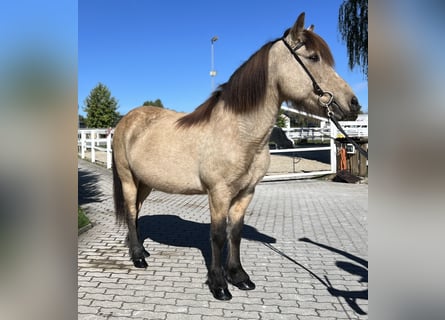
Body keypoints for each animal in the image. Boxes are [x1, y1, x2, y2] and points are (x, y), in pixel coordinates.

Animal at [112, 11, 360, 300]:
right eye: (313, 57)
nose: (354, 104)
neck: (240, 132)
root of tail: (126, 120)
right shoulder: (218, 193)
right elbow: (218, 235)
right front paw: (219, 284)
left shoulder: (246, 192)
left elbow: (236, 233)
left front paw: (239, 276)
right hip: (128, 179)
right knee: (131, 212)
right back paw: (138, 257)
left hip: (146, 182)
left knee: (137, 212)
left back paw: (140, 249)